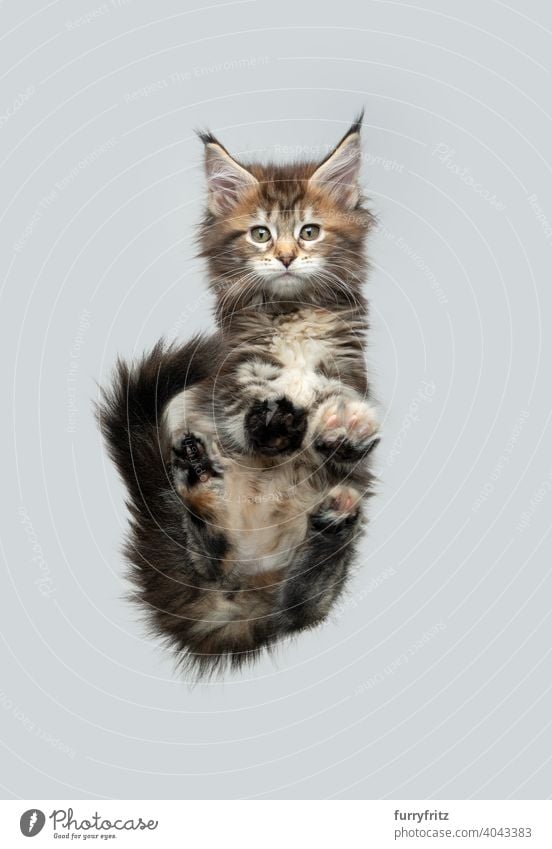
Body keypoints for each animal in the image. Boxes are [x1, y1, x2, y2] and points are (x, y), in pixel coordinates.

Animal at [98, 112, 380, 672]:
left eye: (309, 232)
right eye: (260, 234)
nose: (287, 257)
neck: (292, 316)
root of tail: (243, 594)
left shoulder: (348, 374)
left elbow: (338, 430)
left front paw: (343, 426)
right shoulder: (229, 381)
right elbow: (243, 418)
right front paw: (272, 419)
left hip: (326, 552)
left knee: (302, 603)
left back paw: (330, 523)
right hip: (180, 427)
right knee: (206, 553)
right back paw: (196, 476)